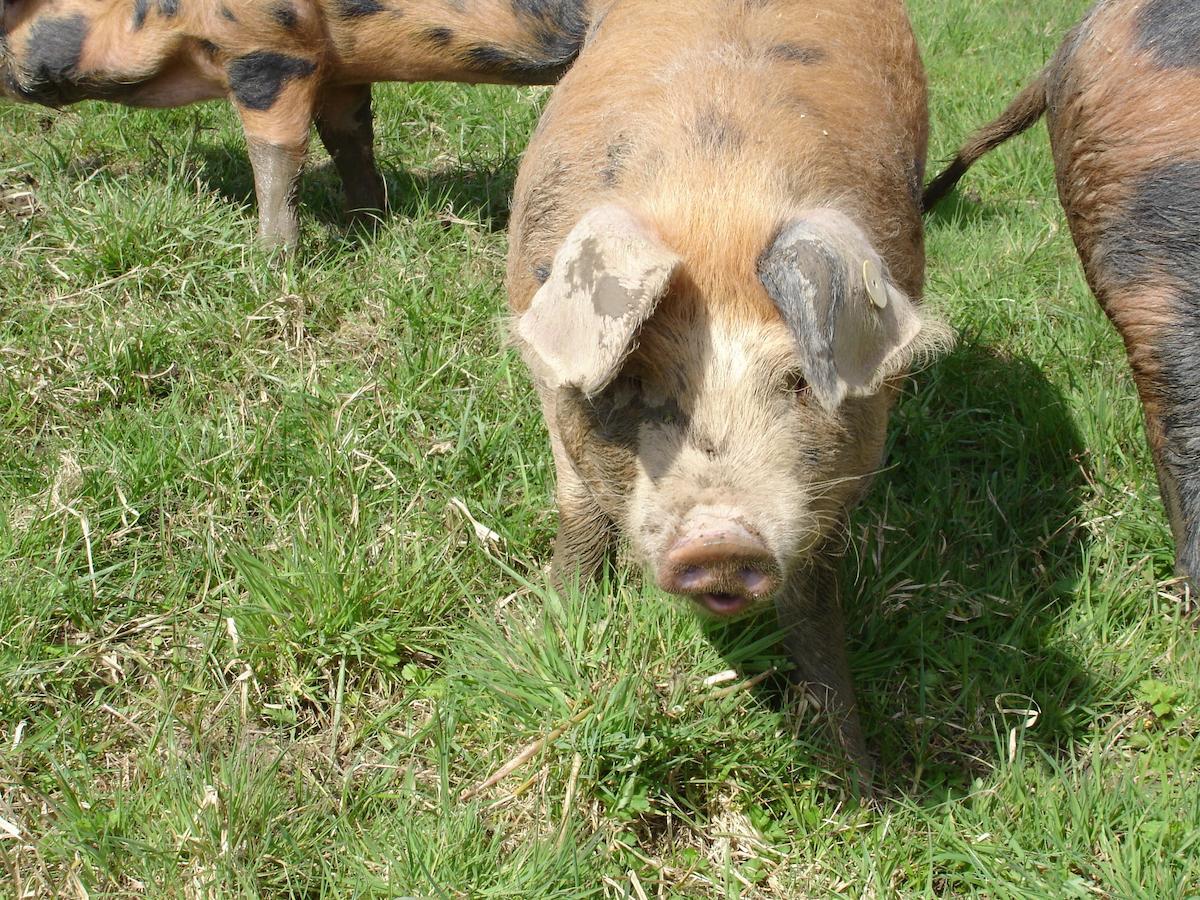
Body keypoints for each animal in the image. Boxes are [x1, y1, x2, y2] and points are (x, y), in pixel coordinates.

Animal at [0, 0, 595, 247]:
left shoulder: (271, 51)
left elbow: (276, 151)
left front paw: (270, 258)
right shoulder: (341, 66)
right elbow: (350, 138)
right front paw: (366, 225)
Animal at [504, 0, 945, 782]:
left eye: (798, 380)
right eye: (634, 377)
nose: (719, 539)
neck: (718, 194)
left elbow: (816, 604)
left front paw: (859, 785)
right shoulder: (549, 387)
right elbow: (578, 511)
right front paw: (554, 632)